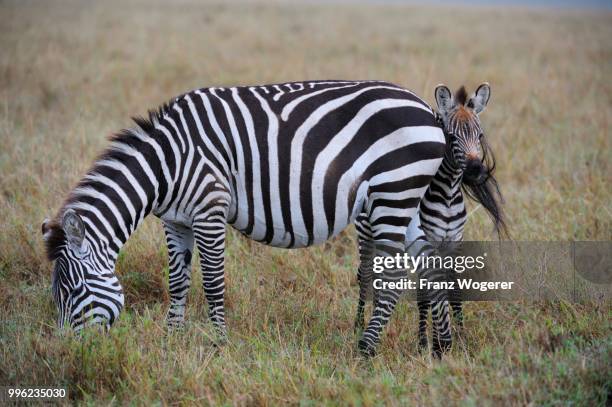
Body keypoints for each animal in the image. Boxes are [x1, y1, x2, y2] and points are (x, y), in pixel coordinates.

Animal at [40, 79, 448, 356]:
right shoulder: (175, 221)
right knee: (432, 262)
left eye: (73, 291)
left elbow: (212, 283)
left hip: (393, 192)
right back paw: (437, 346)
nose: (66, 353)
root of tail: (428, 109)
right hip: (407, 199)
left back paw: (365, 349)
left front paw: (219, 345)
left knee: (393, 277)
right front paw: (171, 340)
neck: (166, 165)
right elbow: (177, 282)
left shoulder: (209, 209)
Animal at [354, 83, 506, 356]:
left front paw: (458, 336)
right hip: (365, 231)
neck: (447, 195)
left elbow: (451, 288)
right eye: (452, 137)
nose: (476, 170)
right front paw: (428, 343)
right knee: (366, 273)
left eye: (480, 136)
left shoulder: (453, 242)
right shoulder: (428, 239)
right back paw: (359, 325)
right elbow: (428, 292)